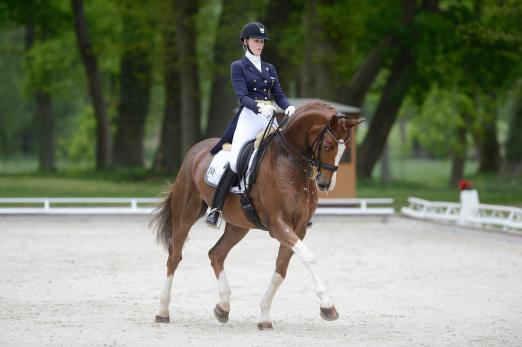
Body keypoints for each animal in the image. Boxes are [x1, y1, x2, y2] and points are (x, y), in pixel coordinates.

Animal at [150, 102, 362, 330]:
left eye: (346, 150)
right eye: (328, 147)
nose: (325, 184)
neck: (290, 162)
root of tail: (195, 150)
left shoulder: (299, 227)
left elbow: (281, 269)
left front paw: (264, 316)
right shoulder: (277, 224)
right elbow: (308, 257)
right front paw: (327, 306)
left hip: (238, 225)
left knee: (216, 254)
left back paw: (223, 307)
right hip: (185, 213)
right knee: (174, 256)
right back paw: (162, 312)